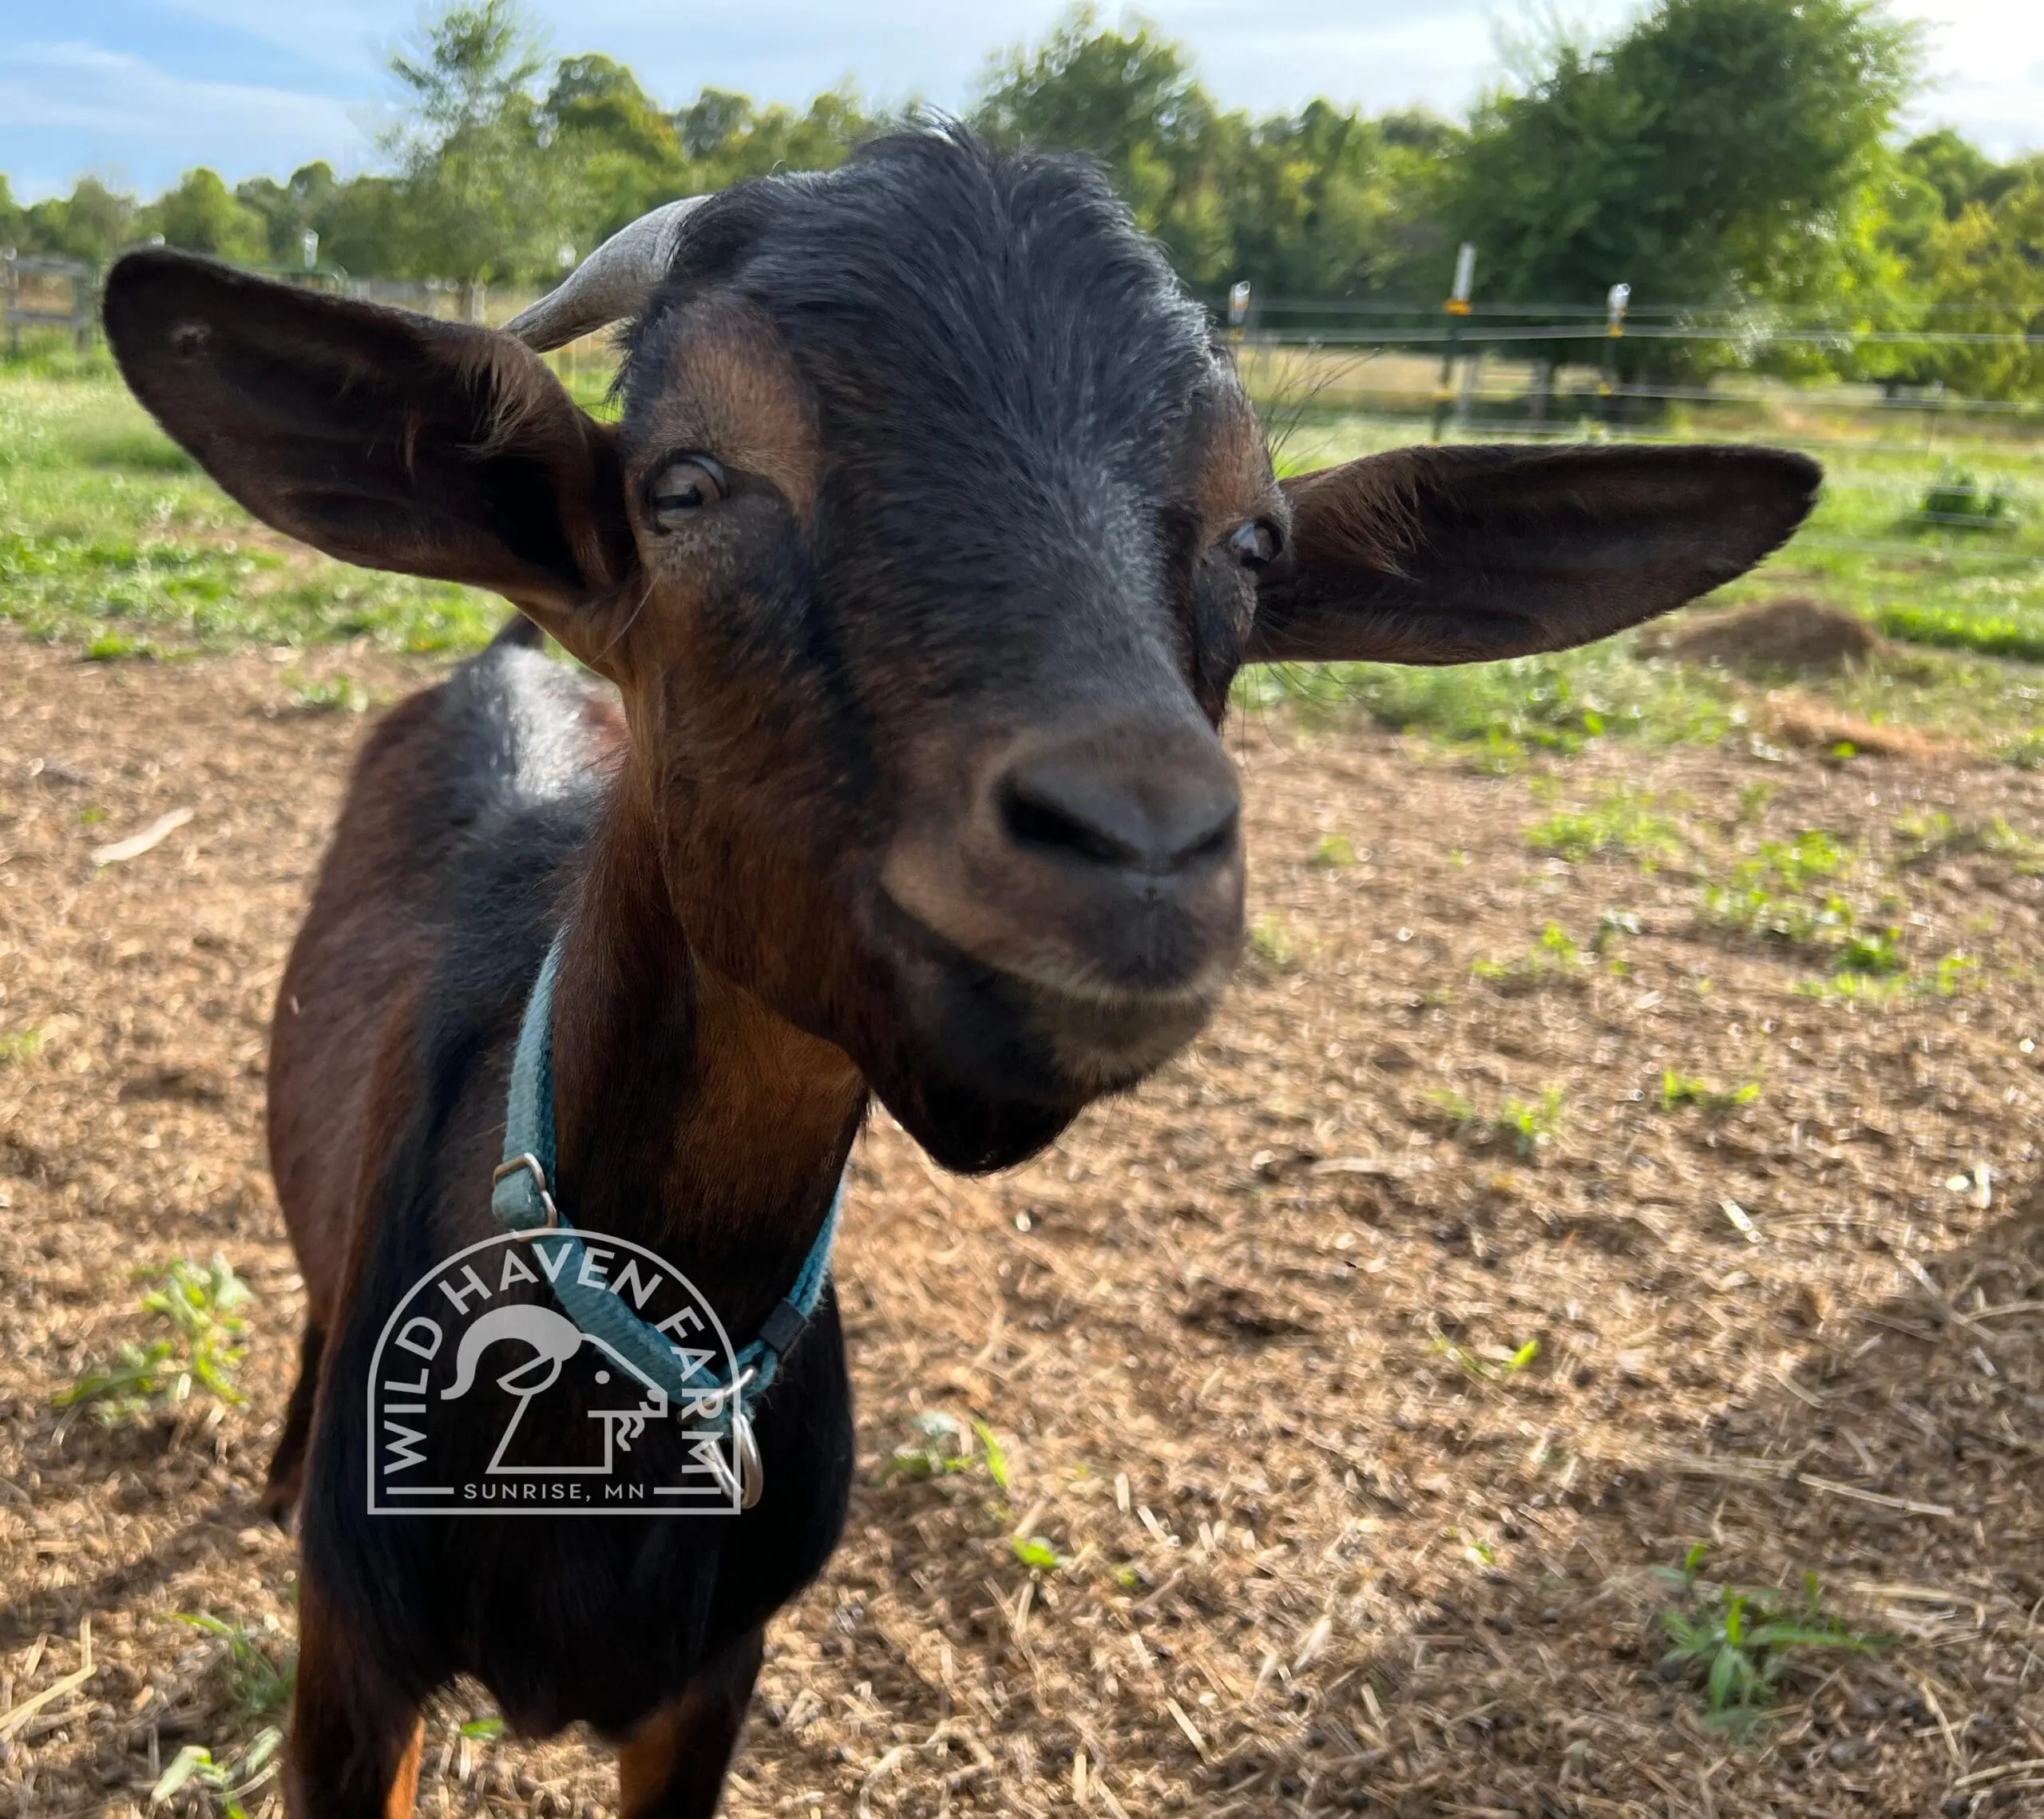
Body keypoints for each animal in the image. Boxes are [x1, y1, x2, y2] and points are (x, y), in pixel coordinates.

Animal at [99, 127, 1823, 1814]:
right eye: (686, 480)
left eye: (1255, 538)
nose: (1137, 845)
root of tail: (512, 652)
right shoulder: (355, 1675)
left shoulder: (711, 1685)